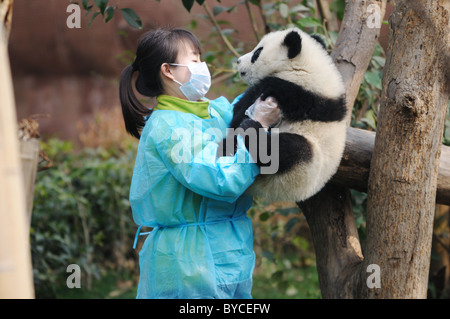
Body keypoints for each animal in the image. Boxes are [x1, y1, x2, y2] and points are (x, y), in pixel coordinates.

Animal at [220, 27, 346, 202]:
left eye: (257, 53)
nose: (238, 61)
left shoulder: (287, 90)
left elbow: (238, 114)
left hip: (304, 164)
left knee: (285, 149)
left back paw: (249, 131)